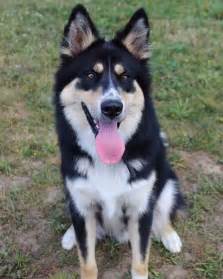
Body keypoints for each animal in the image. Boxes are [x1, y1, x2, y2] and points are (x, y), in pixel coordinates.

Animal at [54, 4, 185, 279]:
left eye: (125, 77)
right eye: (90, 74)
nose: (112, 108)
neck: (106, 159)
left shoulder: (141, 209)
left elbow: (140, 261)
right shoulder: (82, 203)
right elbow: (87, 261)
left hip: (167, 181)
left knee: (164, 210)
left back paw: (170, 236)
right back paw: (70, 235)